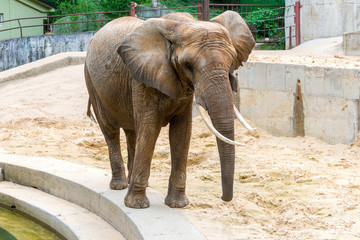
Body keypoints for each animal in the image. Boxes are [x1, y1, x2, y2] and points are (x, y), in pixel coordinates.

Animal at [84, 10, 255, 208]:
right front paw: (137, 205)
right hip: (91, 82)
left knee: (132, 132)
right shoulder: (142, 77)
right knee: (111, 131)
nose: (223, 198)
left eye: (231, 61)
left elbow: (181, 133)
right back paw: (120, 186)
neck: (180, 25)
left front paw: (178, 204)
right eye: (188, 65)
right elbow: (150, 128)